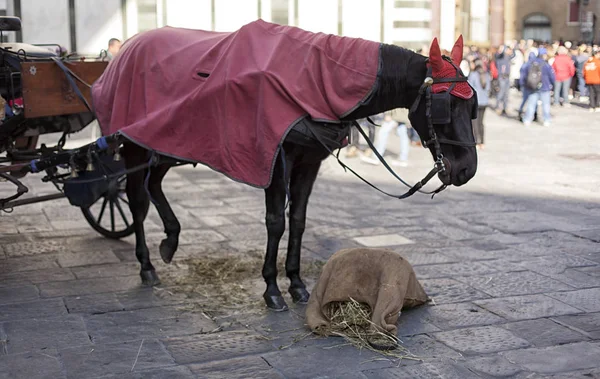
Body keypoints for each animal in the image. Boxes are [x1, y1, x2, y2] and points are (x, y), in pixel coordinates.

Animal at [120, 35, 478, 312]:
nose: (468, 169)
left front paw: (295, 282)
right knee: (137, 200)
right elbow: (276, 221)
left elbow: (299, 220)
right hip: (135, 145)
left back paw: (170, 238)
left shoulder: (310, 161)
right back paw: (146, 264)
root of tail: (129, 45)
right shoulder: (276, 159)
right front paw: (272, 287)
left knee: (154, 185)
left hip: (167, 143)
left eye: (472, 106)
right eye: (447, 106)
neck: (319, 80)